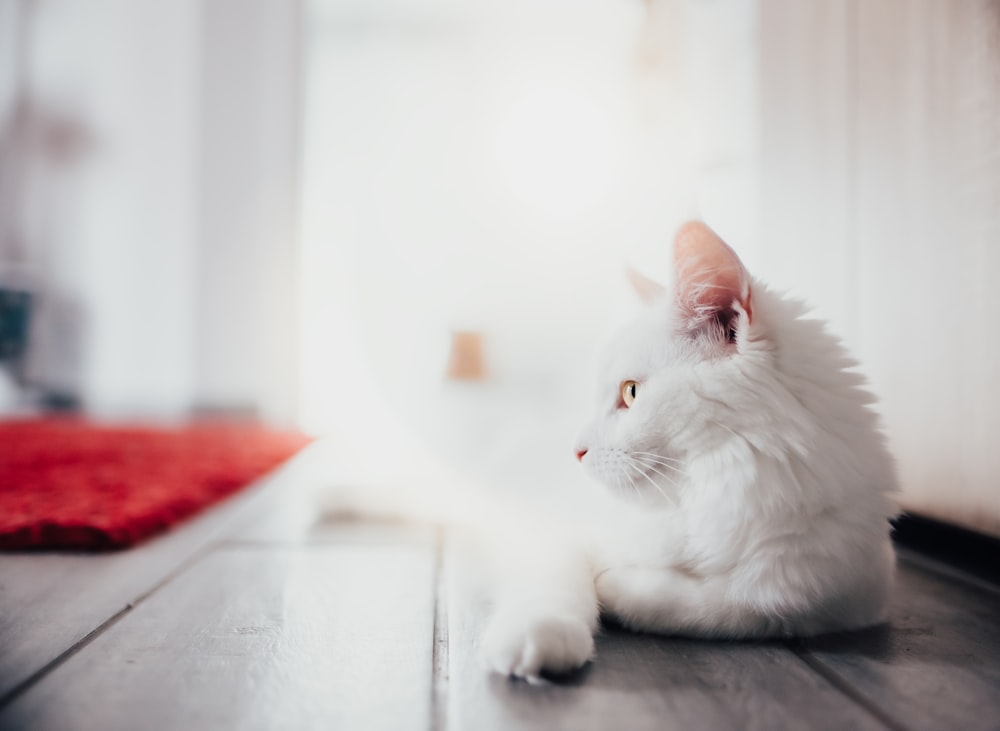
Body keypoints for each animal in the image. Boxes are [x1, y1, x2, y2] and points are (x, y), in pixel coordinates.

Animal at [478, 222, 900, 680]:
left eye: (631, 392)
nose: (576, 451)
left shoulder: (834, 591)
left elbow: (736, 605)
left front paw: (620, 589)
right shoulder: (542, 529)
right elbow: (556, 580)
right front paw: (542, 635)